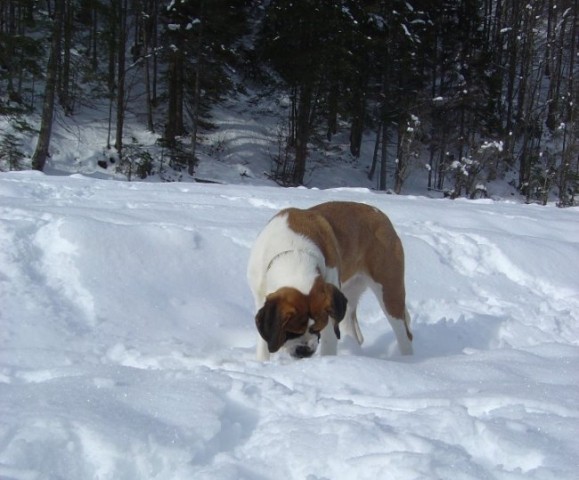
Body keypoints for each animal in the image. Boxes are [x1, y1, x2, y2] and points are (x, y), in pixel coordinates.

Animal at [247, 200, 414, 360]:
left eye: (317, 329)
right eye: (291, 331)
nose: (305, 351)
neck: (295, 253)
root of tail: (380, 215)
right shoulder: (261, 299)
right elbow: (263, 344)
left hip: (389, 292)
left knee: (404, 335)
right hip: (348, 296)